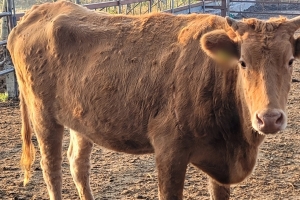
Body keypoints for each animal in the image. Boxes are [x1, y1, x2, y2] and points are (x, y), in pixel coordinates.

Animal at [6, 0, 300, 199]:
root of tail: (37, 11)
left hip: (81, 120)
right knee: (51, 169)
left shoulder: (222, 161)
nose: (269, 118)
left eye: (290, 61)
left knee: (78, 164)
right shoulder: (169, 150)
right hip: (43, 116)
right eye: (242, 62)